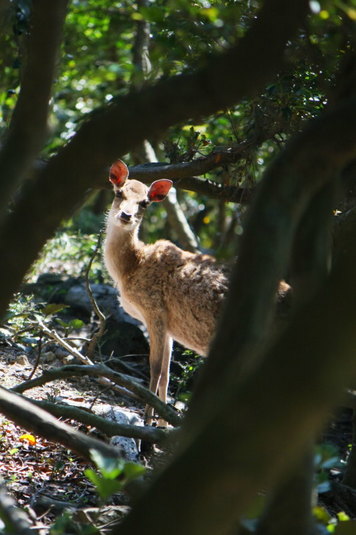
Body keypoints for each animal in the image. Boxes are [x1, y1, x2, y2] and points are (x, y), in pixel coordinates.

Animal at [104, 160, 229, 428]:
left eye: (145, 202)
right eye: (119, 192)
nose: (126, 215)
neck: (131, 267)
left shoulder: (154, 309)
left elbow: (155, 369)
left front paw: (147, 423)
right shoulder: (170, 325)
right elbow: (167, 374)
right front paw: (161, 423)